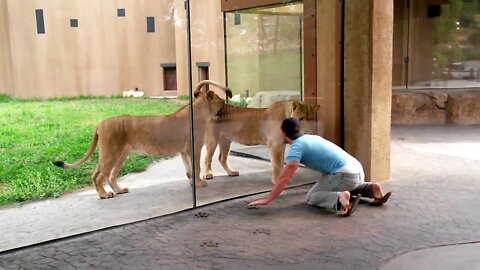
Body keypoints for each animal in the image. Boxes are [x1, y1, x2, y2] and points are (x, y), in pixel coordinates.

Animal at [52, 79, 231, 198]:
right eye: (221, 101)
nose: (227, 104)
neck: (201, 111)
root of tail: (100, 123)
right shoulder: (193, 148)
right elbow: (196, 168)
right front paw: (200, 183)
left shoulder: (184, 151)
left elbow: (189, 170)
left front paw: (193, 183)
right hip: (110, 153)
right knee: (97, 175)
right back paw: (104, 195)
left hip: (121, 154)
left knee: (110, 175)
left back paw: (119, 190)